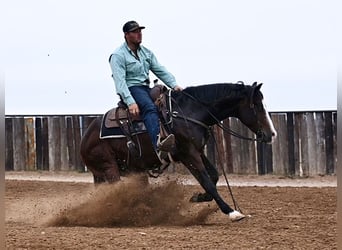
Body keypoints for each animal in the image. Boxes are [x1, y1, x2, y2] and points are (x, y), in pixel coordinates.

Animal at [81, 81, 278, 221]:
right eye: (257, 106)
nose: (272, 134)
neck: (191, 112)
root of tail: (85, 138)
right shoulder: (187, 154)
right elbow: (206, 181)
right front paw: (232, 212)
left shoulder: (198, 150)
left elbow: (214, 176)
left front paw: (198, 197)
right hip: (109, 168)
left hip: (131, 170)